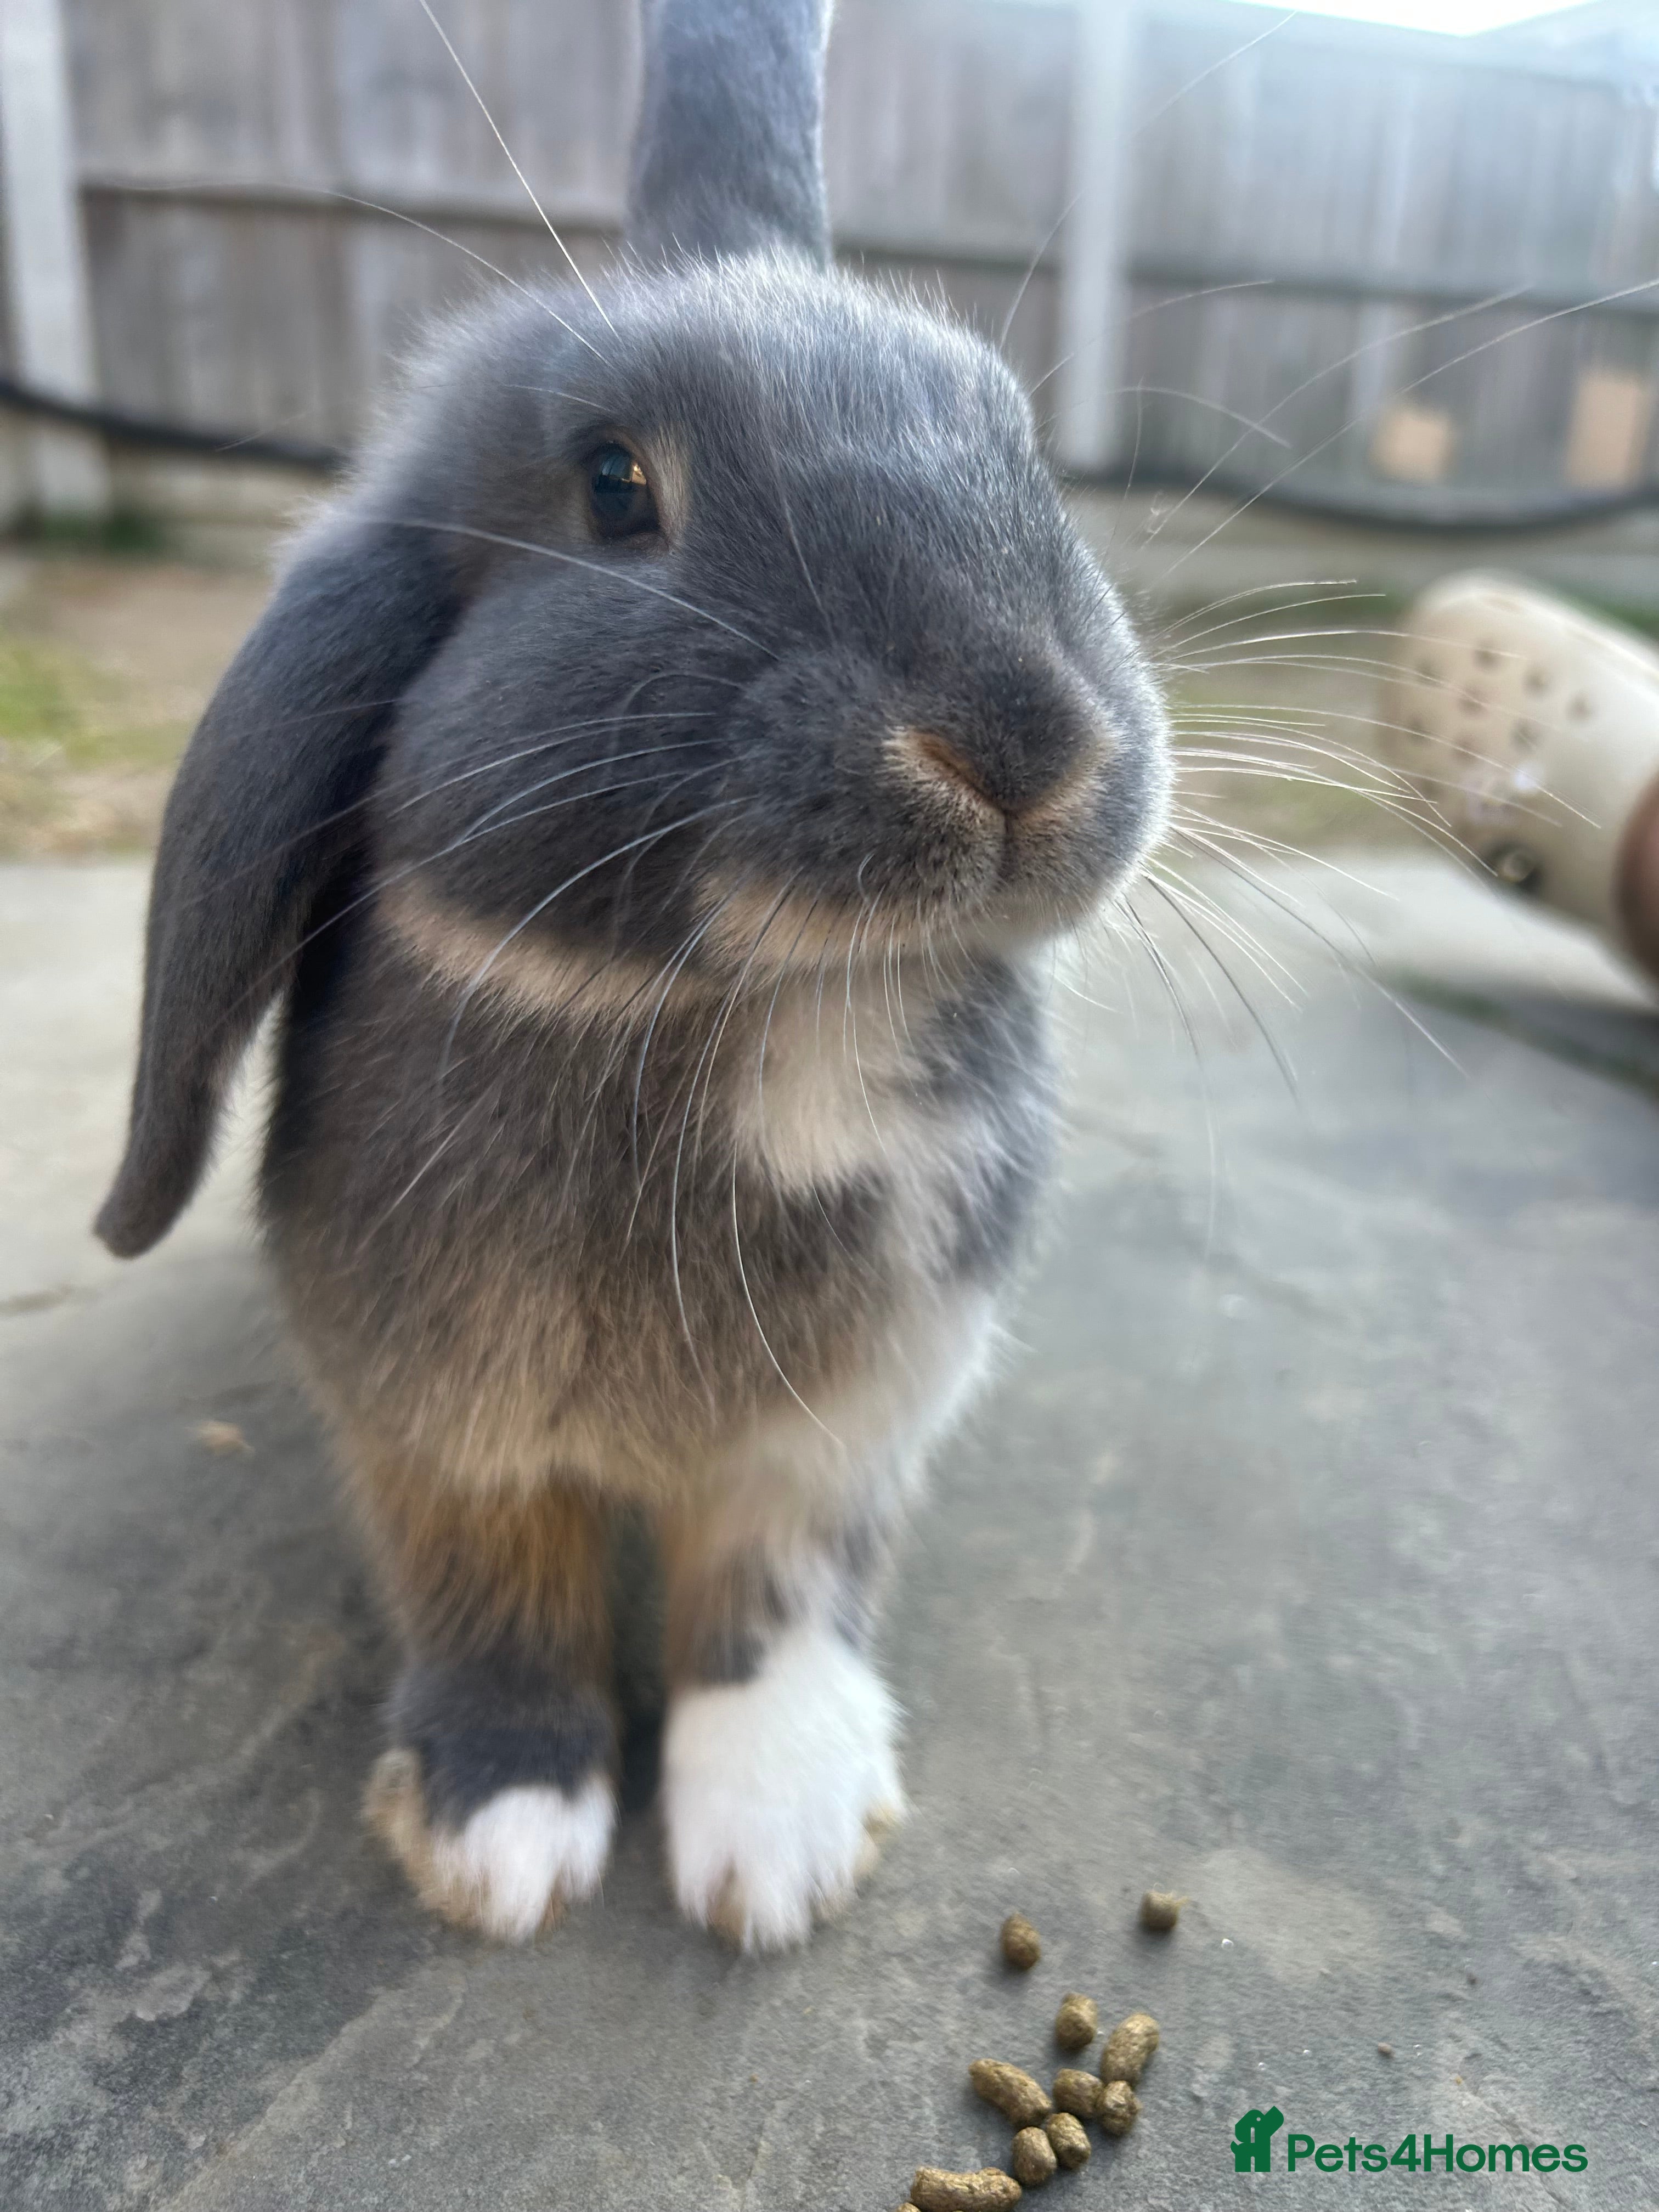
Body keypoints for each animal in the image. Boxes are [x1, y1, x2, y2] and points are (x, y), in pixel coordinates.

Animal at [95, 0, 1169, 1952]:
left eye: (1017, 446)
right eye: (615, 489)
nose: (1023, 746)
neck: (752, 1010)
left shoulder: (837, 1445)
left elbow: (773, 1605)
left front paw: (782, 1844)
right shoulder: (435, 1434)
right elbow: (492, 1596)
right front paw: (501, 1834)